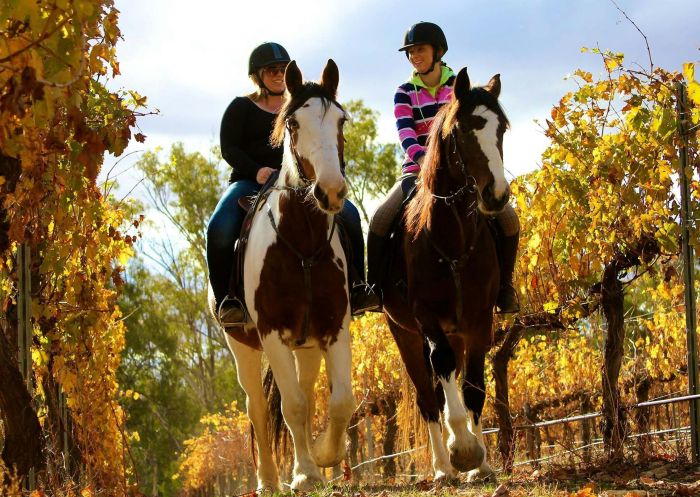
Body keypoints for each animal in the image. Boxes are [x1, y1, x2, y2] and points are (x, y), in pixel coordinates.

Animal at [382, 67, 508, 480]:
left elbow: (473, 387)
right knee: (427, 395)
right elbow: (443, 379)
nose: (496, 196)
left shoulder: (479, 320)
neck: (453, 237)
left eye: (502, 129)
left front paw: (480, 464)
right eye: (462, 130)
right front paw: (462, 451)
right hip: (405, 335)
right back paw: (442, 469)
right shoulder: (427, 320)